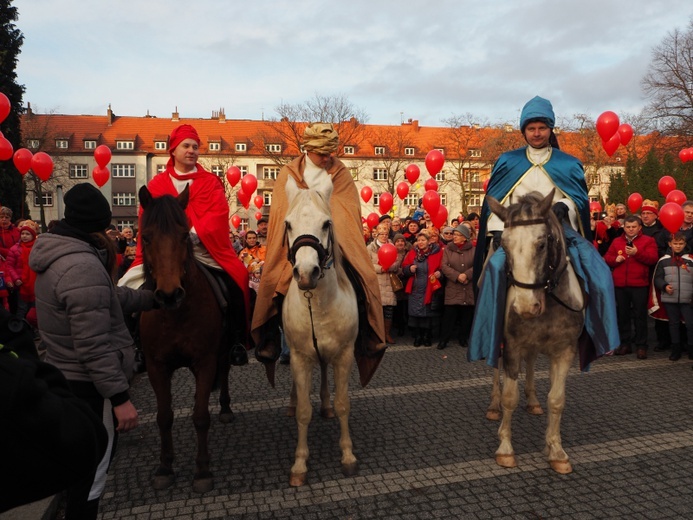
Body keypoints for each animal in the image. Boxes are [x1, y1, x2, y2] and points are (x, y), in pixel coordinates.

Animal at [137, 186, 234, 492]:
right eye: (146, 237)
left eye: (183, 235)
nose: (169, 295)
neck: (175, 315)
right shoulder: (156, 366)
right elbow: (164, 417)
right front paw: (165, 467)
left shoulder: (205, 361)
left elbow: (200, 417)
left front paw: (202, 471)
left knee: (225, 371)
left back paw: (225, 407)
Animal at [282, 180, 360, 488]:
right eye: (288, 224)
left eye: (327, 223)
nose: (306, 273)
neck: (317, 303)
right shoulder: (299, 358)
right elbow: (304, 411)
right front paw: (299, 464)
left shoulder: (344, 356)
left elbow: (343, 405)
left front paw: (348, 456)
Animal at [484, 192, 588, 476]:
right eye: (505, 245)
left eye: (542, 244)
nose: (524, 307)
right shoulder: (512, 346)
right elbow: (510, 397)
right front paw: (505, 449)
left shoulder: (565, 351)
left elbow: (557, 399)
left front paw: (556, 451)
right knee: (496, 372)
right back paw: (494, 406)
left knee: (530, 363)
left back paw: (532, 400)